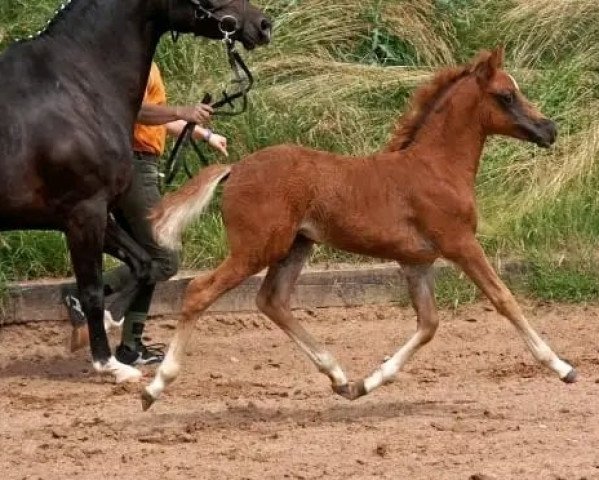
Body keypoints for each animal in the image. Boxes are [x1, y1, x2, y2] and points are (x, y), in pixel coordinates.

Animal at [0, 0, 272, 382]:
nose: (263, 25)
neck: (73, 86)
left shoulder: (99, 214)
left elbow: (143, 264)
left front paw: (100, 326)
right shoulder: (84, 213)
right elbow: (92, 290)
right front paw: (109, 363)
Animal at [142, 47, 576, 408]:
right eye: (506, 96)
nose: (549, 129)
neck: (436, 167)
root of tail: (235, 168)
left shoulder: (416, 262)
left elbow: (429, 324)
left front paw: (366, 384)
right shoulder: (460, 243)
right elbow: (504, 299)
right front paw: (562, 367)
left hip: (295, 247)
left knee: (272, 300)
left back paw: (339, 377)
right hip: (256, 249)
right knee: (200, 291)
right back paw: (155, 386)